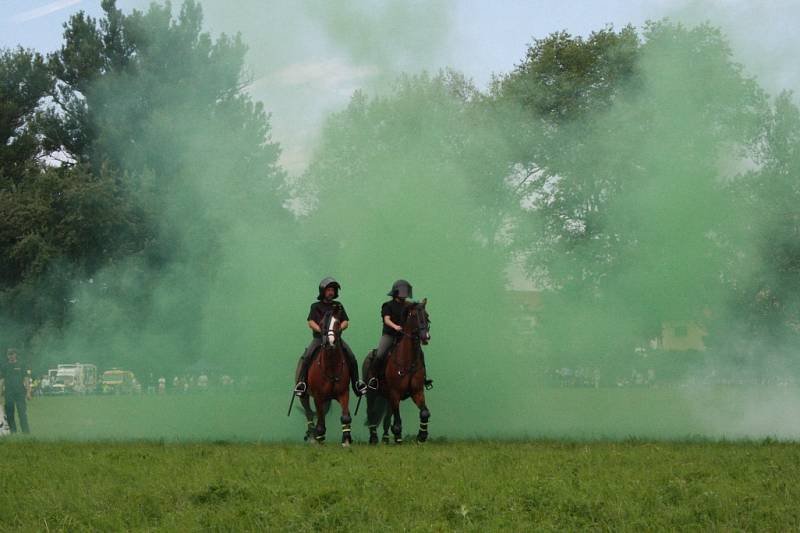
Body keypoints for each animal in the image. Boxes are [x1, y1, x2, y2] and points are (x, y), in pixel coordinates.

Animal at [298, 308, 352, 444]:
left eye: (337, 323)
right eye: (322, 324)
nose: (330, 342)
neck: (331, 365)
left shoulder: (343, 393)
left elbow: (345, 417)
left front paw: (346, 440)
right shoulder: (318, 397)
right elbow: (320, 421)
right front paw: (319, 439)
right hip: (304, 397)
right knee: (309, 414)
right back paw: (313, 438)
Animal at [368, 298, 432, 442]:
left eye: (426, 316)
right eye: (413, 315)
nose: (425, 336)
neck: (407, 361)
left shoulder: (417, 391)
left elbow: (425, 412)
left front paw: (422, 436)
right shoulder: (395, 393)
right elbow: (397, 422)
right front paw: (398, 437)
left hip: (387, 397)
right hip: (371, 395)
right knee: (371, 414)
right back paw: (374, 439)